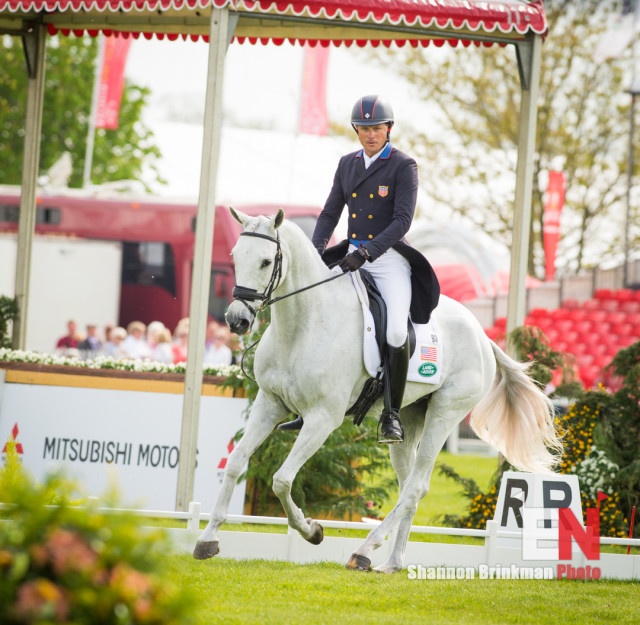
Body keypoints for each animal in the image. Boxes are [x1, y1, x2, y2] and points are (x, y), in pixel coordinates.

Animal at [192, 208, 564, 572]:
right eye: (235, 255)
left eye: (266, 261)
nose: (237, 320)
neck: (303, 325)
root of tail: (483, 335)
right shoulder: (269, 404)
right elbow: (236, 462)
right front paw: (207, 539)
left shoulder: (322, 418)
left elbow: (282, 479)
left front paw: (312, 530)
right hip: (409, 418)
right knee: (407, 487)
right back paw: (391, 562)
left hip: (445, 414)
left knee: (416, 486)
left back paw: (364, 550)